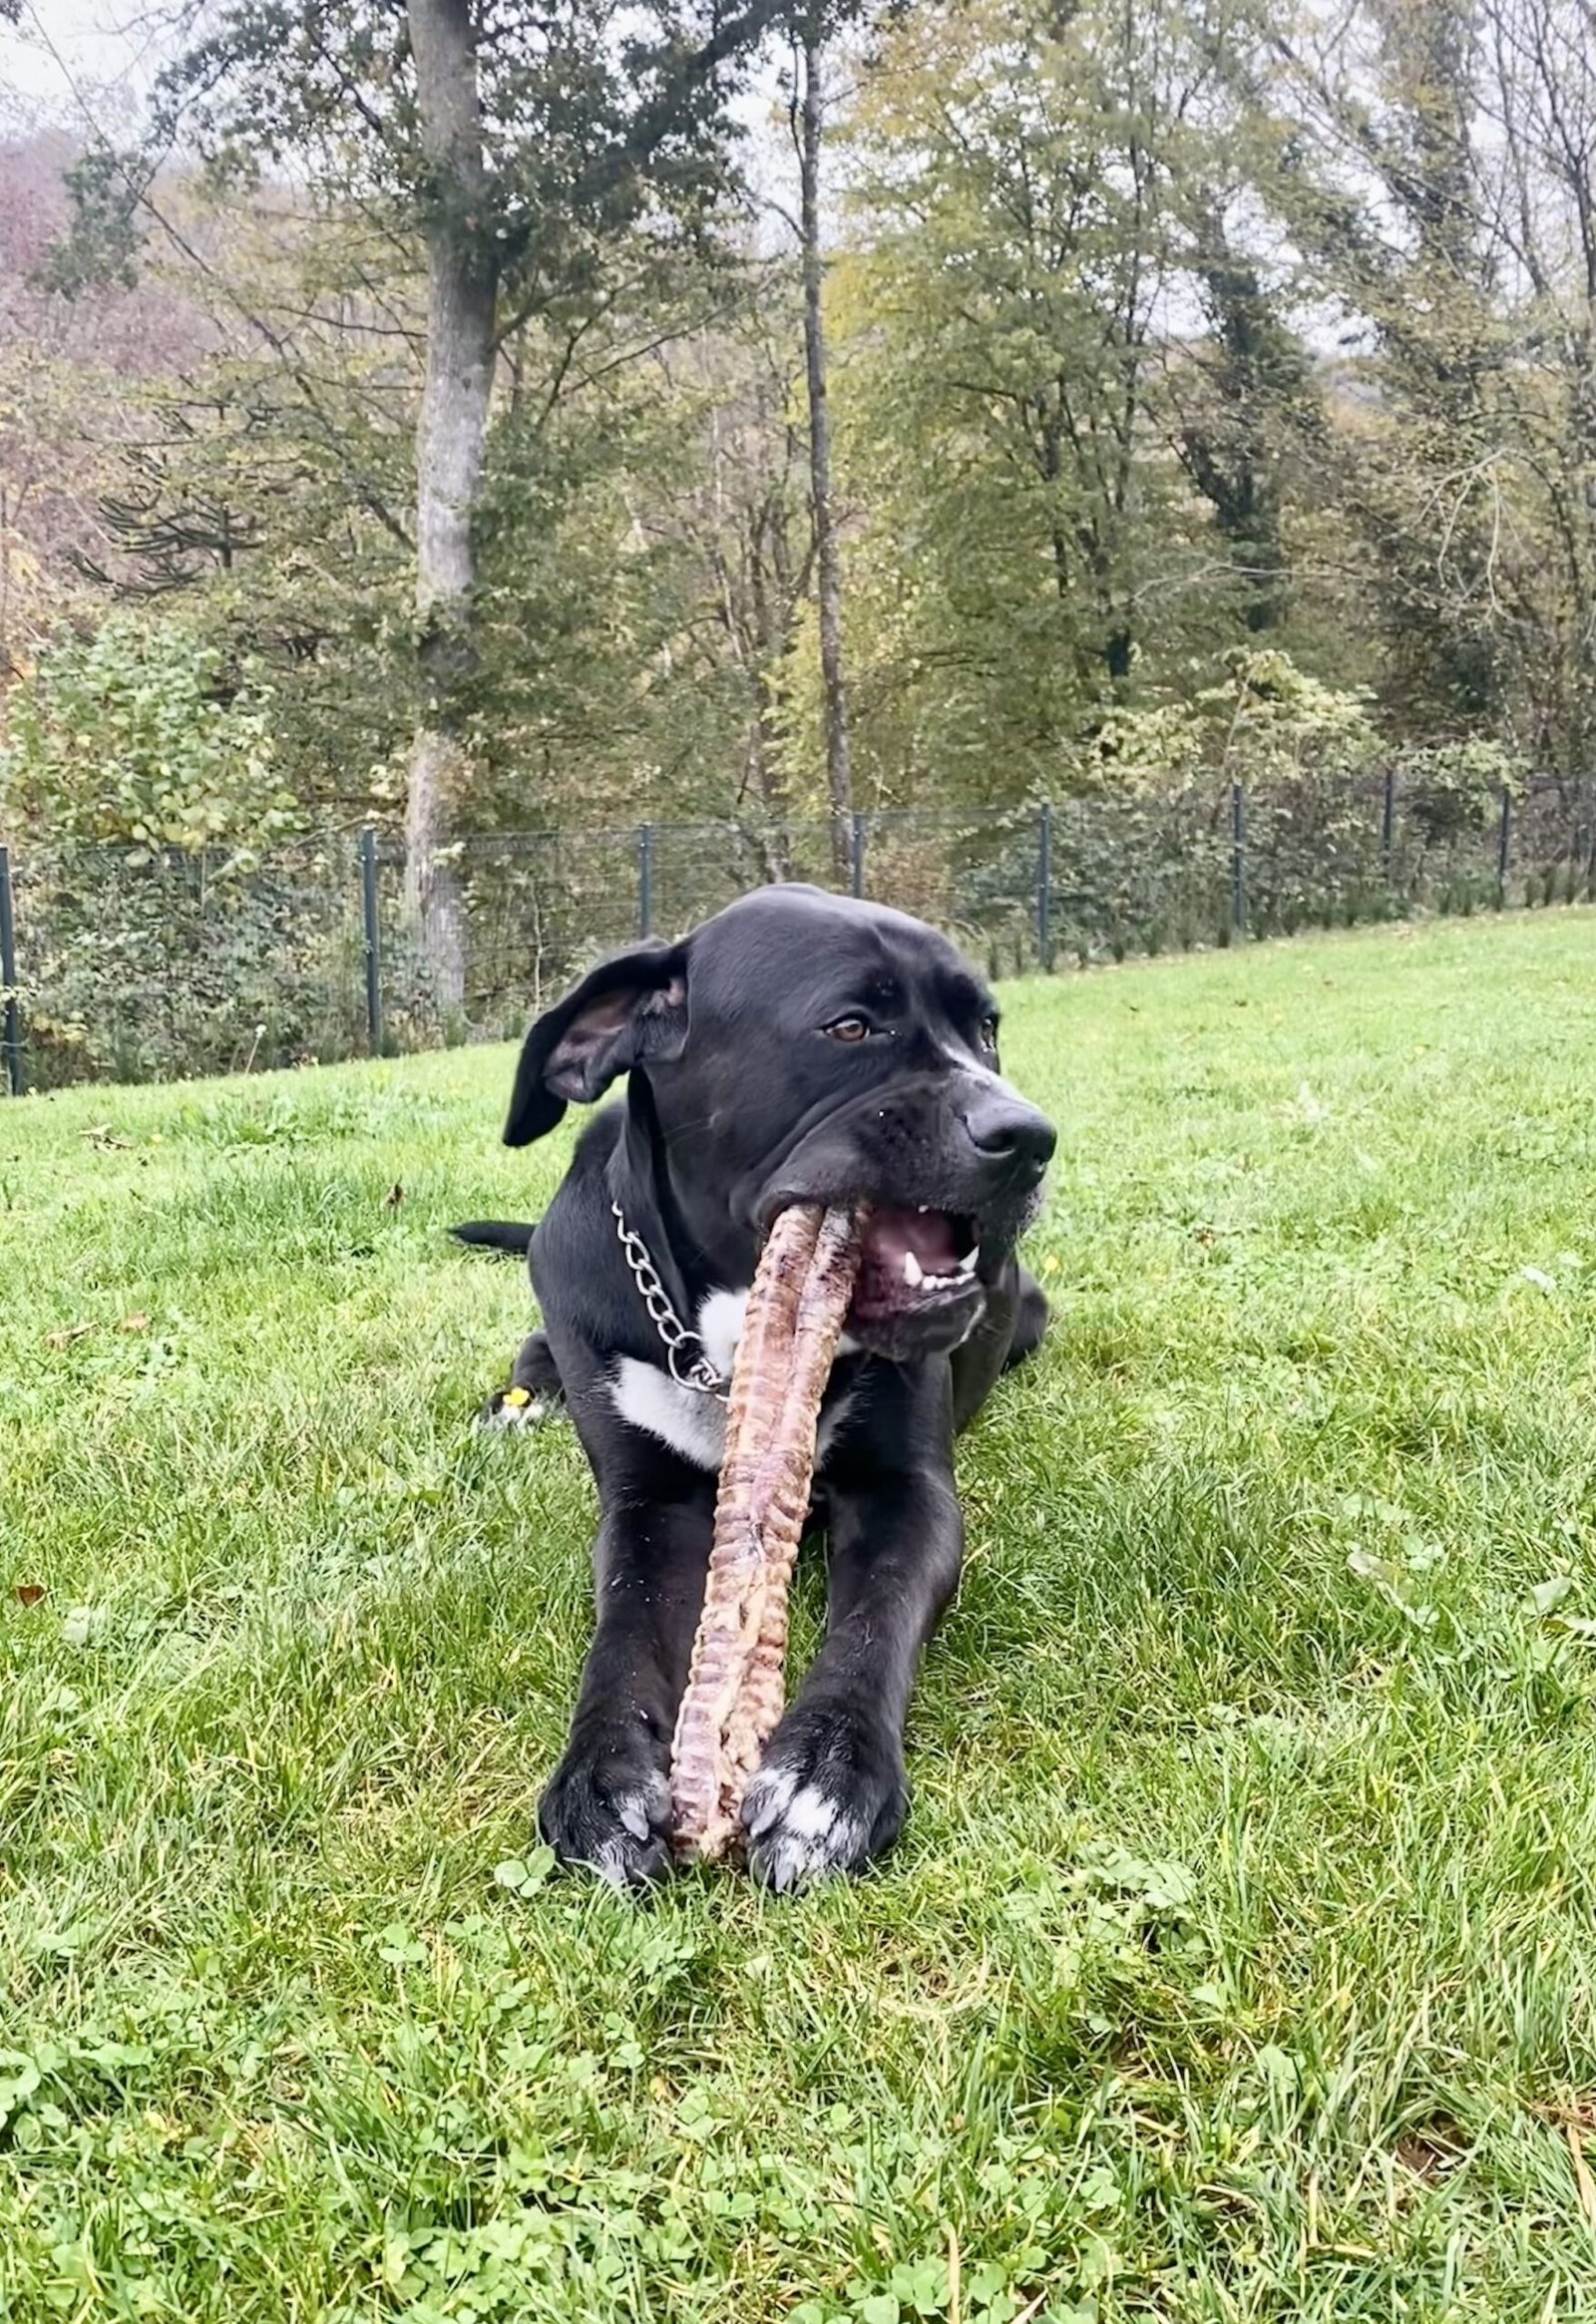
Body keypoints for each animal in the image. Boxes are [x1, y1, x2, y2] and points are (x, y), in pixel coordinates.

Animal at [454, 884, 1056, 1890]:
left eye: (987, 1030)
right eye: (850, 1026)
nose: (1031, 1138)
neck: (727, 1342)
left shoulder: (907, 1494)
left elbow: (875, 1621)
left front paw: (828, 1774)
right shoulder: (647, 1506)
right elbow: (622, 1630)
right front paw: (600, 1777)